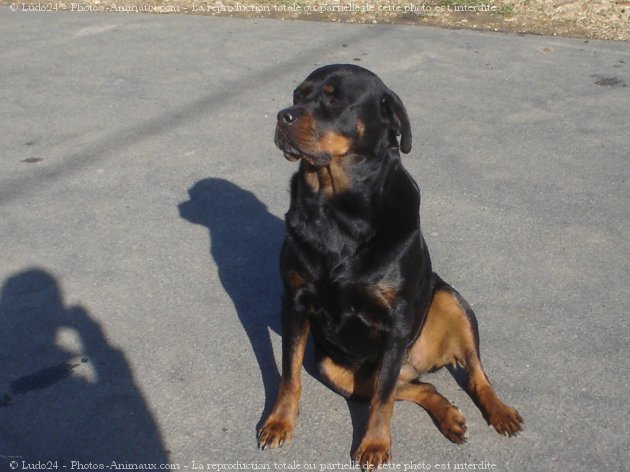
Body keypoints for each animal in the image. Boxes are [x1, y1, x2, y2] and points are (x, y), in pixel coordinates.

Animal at [256, 64, 524, 470]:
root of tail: (416, 363)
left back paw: (500, 411)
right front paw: (279, 422)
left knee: (471, 371)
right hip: (334, 367)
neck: (336, 208)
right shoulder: (295, 302)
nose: (282, 115)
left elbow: (382, 400)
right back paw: (448, 415)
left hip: (449, 301)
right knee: (411, 385)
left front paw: (375, 445)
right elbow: (290, 374)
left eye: (335, 100)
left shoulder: (395, 320)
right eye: (298, 95)